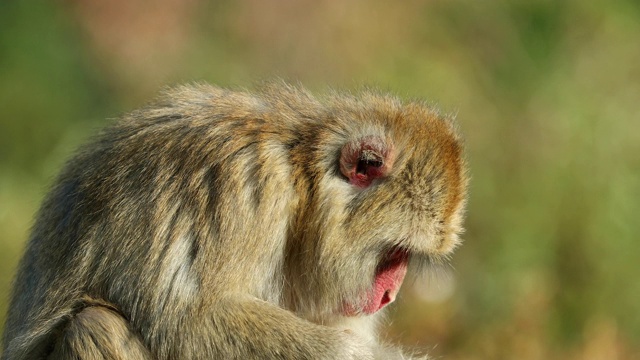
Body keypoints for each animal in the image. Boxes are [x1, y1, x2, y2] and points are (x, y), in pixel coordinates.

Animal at [2, 82, 468, 360]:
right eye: (395, 252)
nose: (389, 295)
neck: (298, 174)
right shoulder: (242, 183)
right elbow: (191, 321)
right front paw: (352, 354)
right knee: (96, 326)